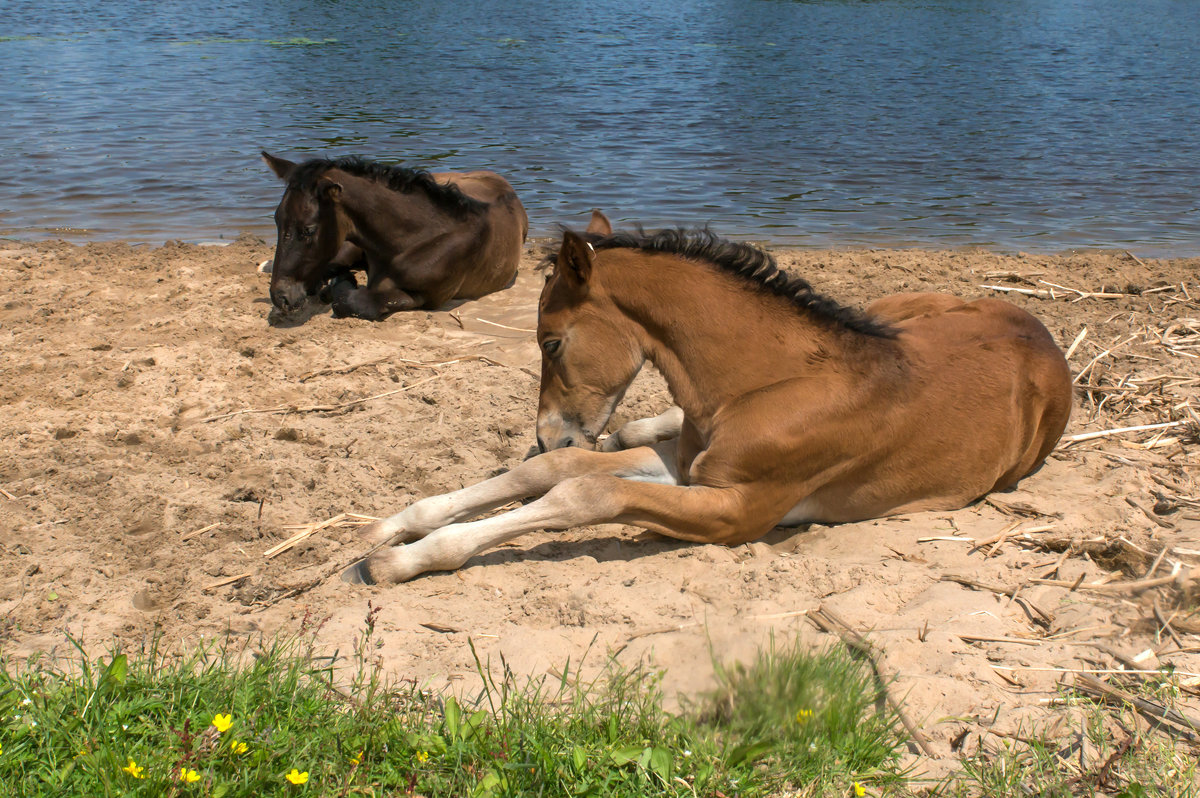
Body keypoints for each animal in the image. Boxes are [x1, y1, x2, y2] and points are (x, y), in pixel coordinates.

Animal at [262, 152, 525, 316]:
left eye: (309, 230)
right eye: (276, 219)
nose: (280, 297)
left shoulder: (422, 296)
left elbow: (349, 302)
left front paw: (341, 284)